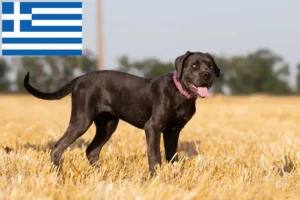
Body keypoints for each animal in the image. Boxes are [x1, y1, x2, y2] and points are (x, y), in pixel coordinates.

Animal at [23, 51, 220, 175]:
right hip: (81, 120)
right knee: (58, 147)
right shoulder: (153, 128)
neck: (180, 94)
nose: (206, 75)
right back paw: (57, 175)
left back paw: (101, 176)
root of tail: (80, 78)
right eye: (193, 65)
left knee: (92, 150)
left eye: (210, 66)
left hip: (108, 125)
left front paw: (176, 178)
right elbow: (155, 156)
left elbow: (173, 157)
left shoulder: (173, 132)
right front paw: (156, 178)